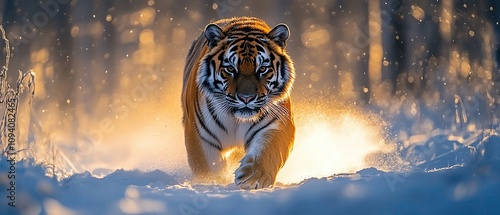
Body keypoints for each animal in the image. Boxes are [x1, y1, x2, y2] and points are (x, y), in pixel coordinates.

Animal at [182, 16, 294, 189]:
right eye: (230, 68)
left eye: (262, 69)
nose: (246, 98)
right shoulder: (200, 134)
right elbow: (208, 166)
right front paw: (213, 181)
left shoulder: (277, 124)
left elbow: (267, 151)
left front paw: (254, 177)